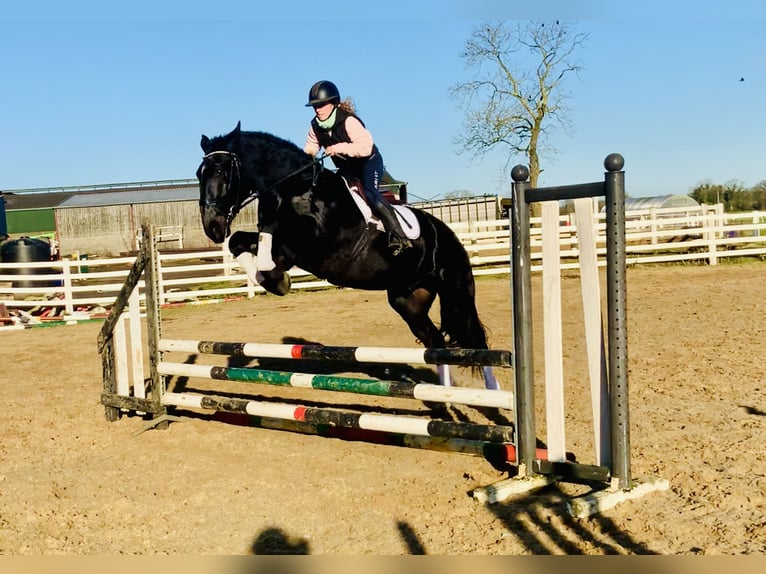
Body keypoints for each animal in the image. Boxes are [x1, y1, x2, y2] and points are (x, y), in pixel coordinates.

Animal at [195, 123, 500, 390]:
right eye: (200, 173)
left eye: (221, 170)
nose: (212, 226)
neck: (295, 190)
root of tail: (446, 233)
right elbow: (240, 241)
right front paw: (274, 281)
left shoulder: (309, 249)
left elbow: (269, 251)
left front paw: (278, 282)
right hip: (408, 301)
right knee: (435, 342)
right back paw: (445, 396)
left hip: (457, 292)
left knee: (476, 342)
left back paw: (493, 394)